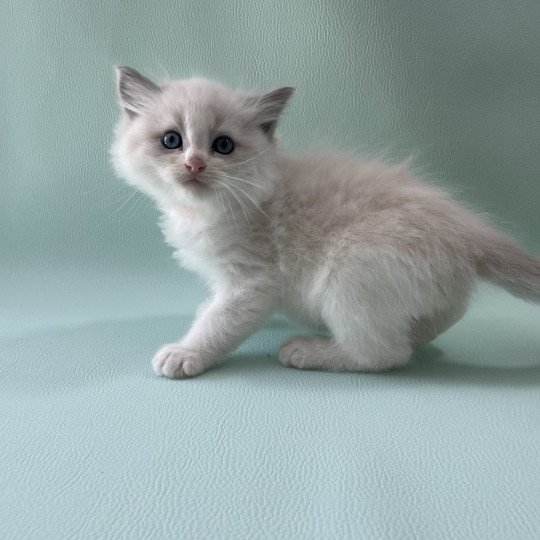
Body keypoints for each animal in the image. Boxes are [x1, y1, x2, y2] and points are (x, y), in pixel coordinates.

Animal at [110, 67, 540, 378]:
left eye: (223, 146)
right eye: (171, 140)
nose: (194, 164)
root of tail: (468, 233)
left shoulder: (251, 282)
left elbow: (221, 321)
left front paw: (187, 352)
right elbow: (210, 310)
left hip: (351, 274)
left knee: (385, 355)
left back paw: (310, 350)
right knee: (441, 319)